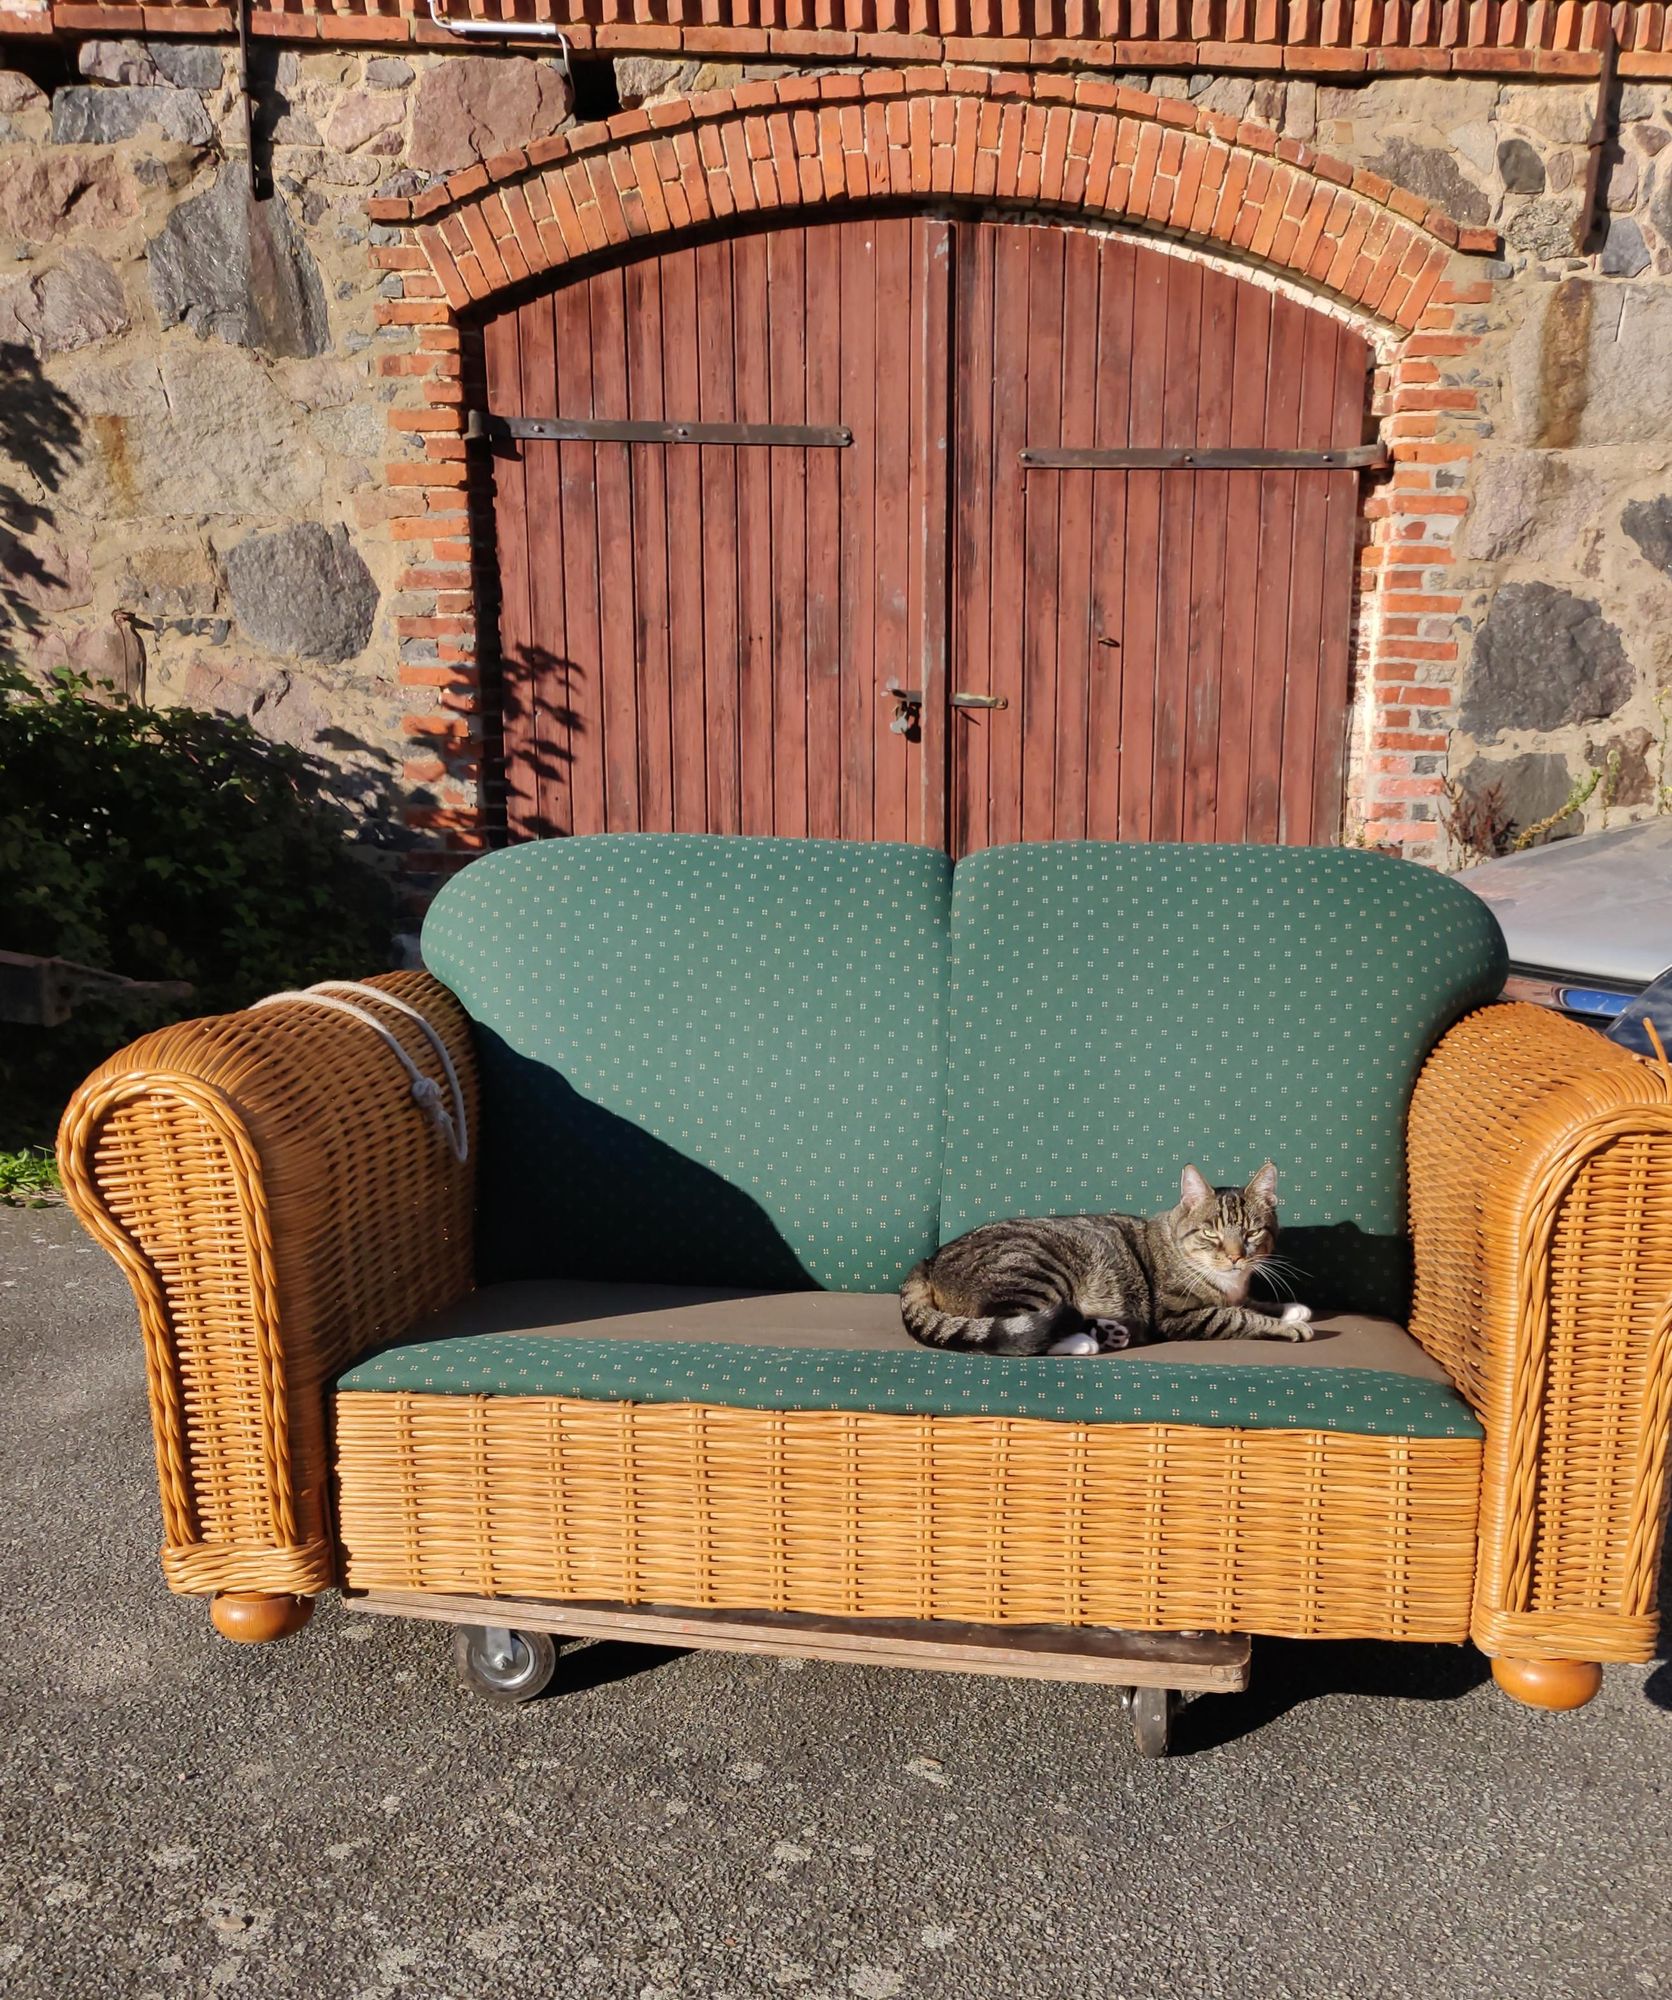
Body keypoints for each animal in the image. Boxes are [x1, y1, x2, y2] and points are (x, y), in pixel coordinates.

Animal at [896, 1160, 1312, 1360]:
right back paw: (1083, 1341)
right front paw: (1288, 1326)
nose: (1236, 1257)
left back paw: (1108, 1331)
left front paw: (1292, 1309)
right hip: (1034, 1268)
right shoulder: (1180, 1315)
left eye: (1252, 1233)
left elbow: (1252, 1303)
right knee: (1012, 1329)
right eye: (1211, 1233)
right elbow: (1239, 1316)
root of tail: (929, 1260)